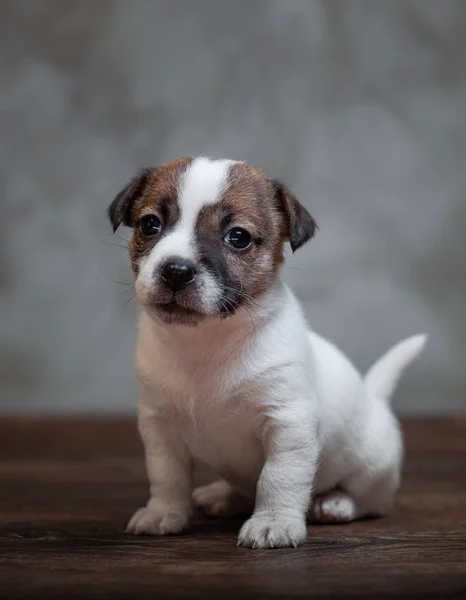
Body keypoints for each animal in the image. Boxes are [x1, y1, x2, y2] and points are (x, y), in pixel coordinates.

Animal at [108, 156, 426, 548]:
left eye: (238, 237)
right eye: (150, 224)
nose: (176, 270)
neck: (206, 342)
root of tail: (375, 398)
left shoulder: (288, 425)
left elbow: (278, 478)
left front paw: (273, 522)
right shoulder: (160, 427)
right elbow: (167, 476)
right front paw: (163, 512)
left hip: (371, 467)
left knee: (370, 499)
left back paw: (336, 504)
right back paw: (222, 494)